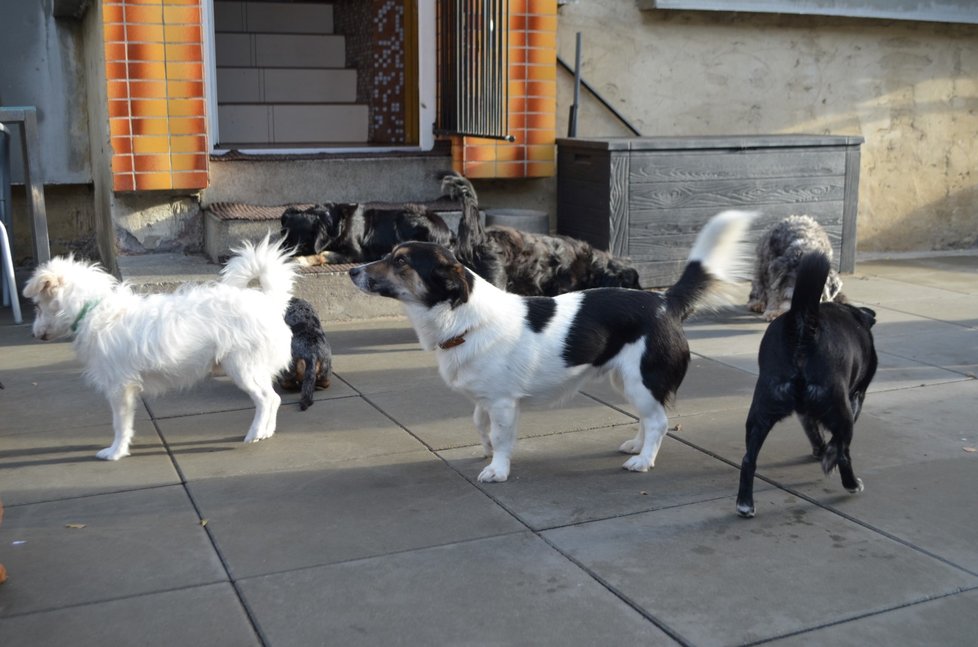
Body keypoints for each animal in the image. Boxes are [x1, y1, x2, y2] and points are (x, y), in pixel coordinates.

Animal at [23, 235, 294, 458]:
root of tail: (269, 302)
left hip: (243, 367)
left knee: (266, 399)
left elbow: (120, 424)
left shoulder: (119, 388)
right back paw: (266, 431)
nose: (34, 333)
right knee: (274, 398)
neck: (93, 308)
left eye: (36, 305)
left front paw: (115, 451)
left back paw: (255, 432)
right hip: (254, 369)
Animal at [278, 201, 454, 264]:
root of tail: (449, 232)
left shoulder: (355, 253)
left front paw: (302, 260)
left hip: (408, 216)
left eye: (300, 247)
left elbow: (323, 253)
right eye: (283, 242)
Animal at [350, 210, 756, 484]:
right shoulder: (487, 399)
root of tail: (665, 301)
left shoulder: (503, 403)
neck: (464, 319)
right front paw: (487, 450)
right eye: (390, 254)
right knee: (648, 417)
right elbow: (480, 424)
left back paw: (643, 461)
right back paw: (636, 446)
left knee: (659, 421)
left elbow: (501, 436)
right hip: (627, 381)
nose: (352, 271)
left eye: (400, 261)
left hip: (641, 379)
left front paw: (497, 468)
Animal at [732, 251, 876, 520]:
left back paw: (745, 504)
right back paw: (850, 482)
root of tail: (804, 325)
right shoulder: (856, 398)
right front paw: (827, 455)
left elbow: (814, 432)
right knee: (843, 451)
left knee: (748, 460)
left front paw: (820, 450)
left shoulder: (804, 414)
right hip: (840, 409)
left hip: (761, 411)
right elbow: (835, 442)